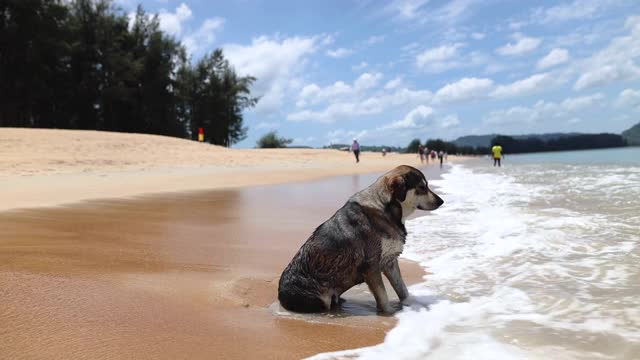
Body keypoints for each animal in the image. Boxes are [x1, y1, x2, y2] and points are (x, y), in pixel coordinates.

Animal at [278, 165, 442, 314]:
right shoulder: (371, 265)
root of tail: (280, 297)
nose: (442, 201)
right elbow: (382, 295)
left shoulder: (390, 261)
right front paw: (390, 313)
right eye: (422, 187)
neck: (385, 208)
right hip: (320, 299)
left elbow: (402, 288)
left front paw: (410, 304)